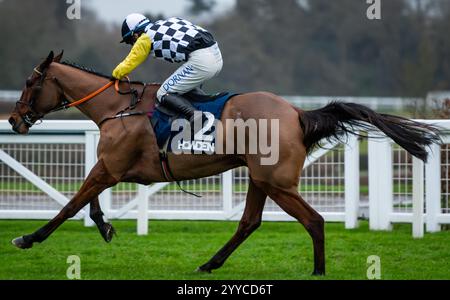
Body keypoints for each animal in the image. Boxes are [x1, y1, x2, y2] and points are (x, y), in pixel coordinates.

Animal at [8, 51, 442, 274]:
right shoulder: (110, 168)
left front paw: (28, 238)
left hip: (277, 183)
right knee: (249, 222)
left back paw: (317, 270)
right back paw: (210, 263)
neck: (118, 108)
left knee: (314, 221)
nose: (13, 119)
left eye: (30, 83)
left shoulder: (110, 168)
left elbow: (70, 205)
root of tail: (298, 113)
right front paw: (105, 226)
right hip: (260, 179)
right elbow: (88, 200)